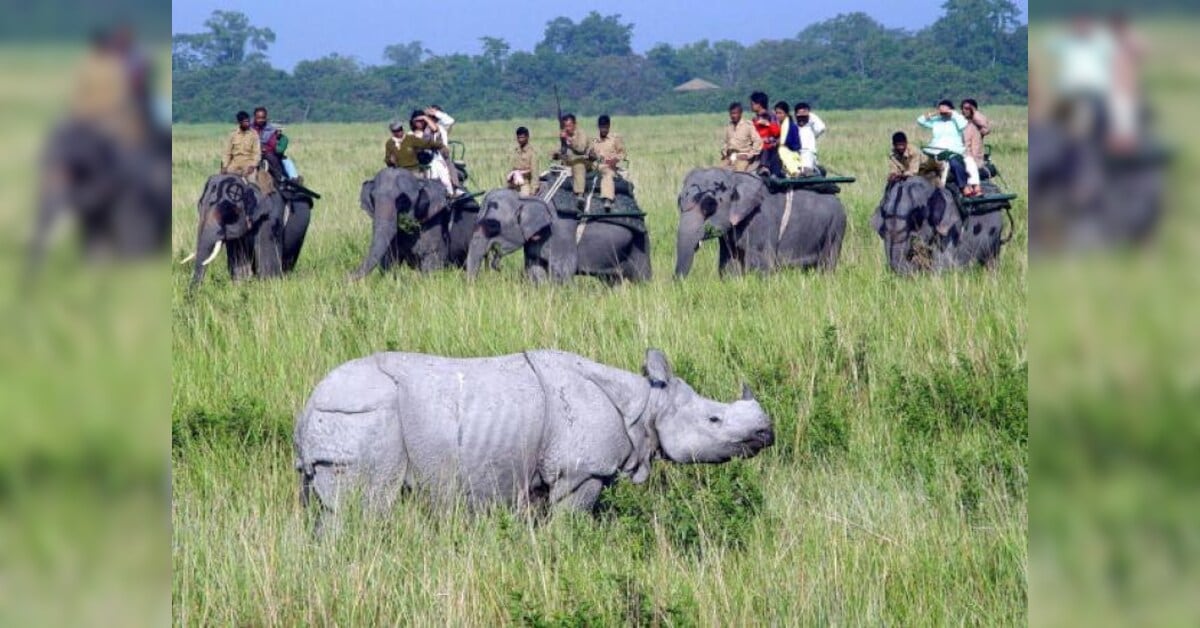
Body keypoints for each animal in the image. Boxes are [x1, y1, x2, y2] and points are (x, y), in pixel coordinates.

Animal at [293, 349, 774, 520]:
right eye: (714, 420)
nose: (767, 433)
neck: (645, 404)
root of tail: (308, 406)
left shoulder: (543, 476)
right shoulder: (581, 472)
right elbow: (570, 525)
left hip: (341, 420)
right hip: (363, 416)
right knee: (366, 509)